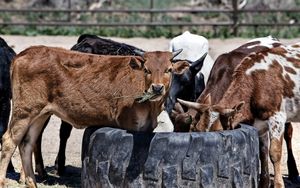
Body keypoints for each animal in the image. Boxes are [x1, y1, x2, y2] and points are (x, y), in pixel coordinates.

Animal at [0, 46, 186, 188]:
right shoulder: (129, 125)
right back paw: (4, 182)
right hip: (24, 111)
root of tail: (26, 52)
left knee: (27, 144)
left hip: (40, 114)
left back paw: (32, 183)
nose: (157, 88)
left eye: (169, 70)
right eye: (147, 70)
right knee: (9, 141)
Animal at [178, 40, 300, 187]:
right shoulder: (259, 124)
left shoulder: (277, 117)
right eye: (197, 130)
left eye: (219, 132)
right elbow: (262, 151)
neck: (256, 81)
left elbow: (274, 153)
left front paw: (278, 184)